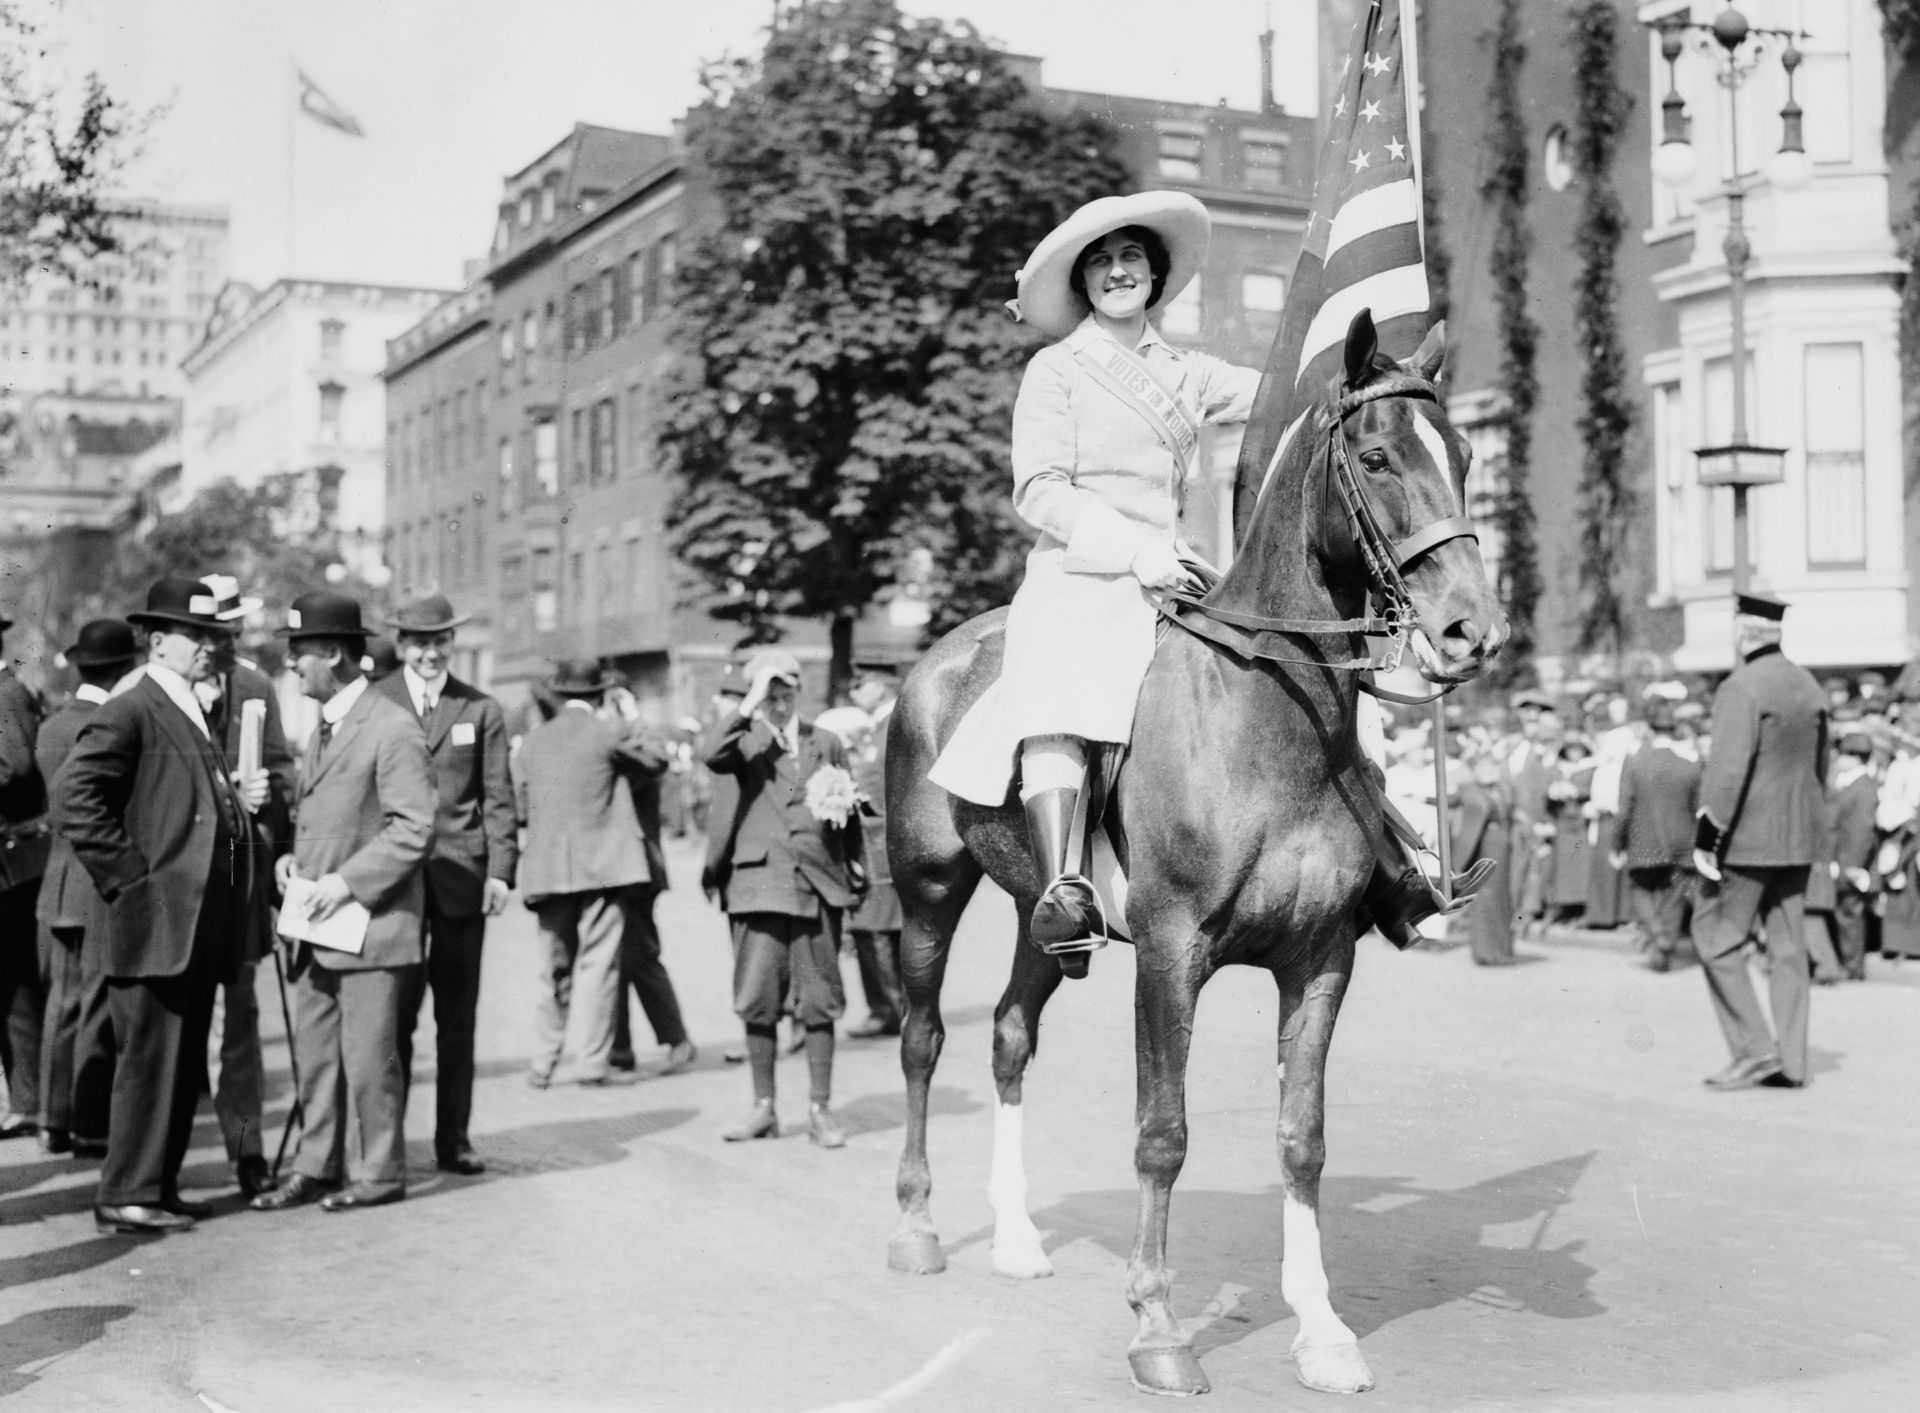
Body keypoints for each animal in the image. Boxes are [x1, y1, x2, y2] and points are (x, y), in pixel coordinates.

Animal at [887, 303, 1512, 1397]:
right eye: (1378, 455)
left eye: (1468, 454)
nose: (1471, 630)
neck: (1267, 718)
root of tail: (934, 658)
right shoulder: (1171, 957)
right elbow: (1163, 1135)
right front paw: (1157, 1327)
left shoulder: (1320, 961)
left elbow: (1302, 1140)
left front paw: (1323, 1331)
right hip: (928, 891)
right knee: (924, 1040)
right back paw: (921, 1224)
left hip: (1045, 918)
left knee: (1008, 1032)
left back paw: (1015, 1238)